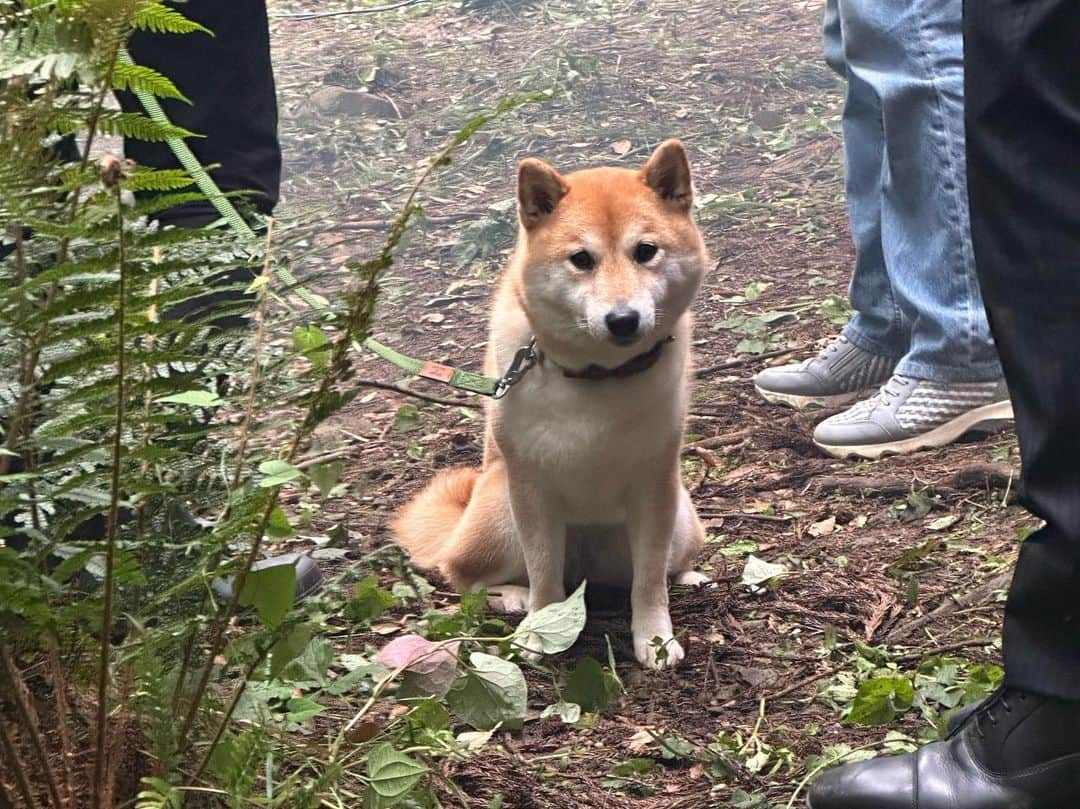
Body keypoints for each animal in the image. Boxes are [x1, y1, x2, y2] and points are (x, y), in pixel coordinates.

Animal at [393, 140, 712, 669]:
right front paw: (539, 630)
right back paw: (511, 596)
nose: (623, 319)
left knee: (659, 569)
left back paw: (687, 576)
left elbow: (649, 584)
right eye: (581, 259)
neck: (597, 377)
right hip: (500, 509)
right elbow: (543, 574)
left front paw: (655, 639)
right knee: (463, 577)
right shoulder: (532, 490)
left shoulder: (656, 485)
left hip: (682, 520)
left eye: (645, 251)